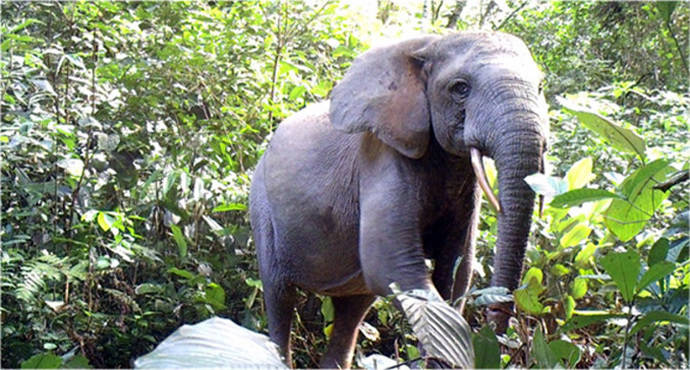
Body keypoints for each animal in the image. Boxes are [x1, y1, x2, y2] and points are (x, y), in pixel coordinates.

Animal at [247, 31, 544, 368]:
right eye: (460, 88)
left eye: (540, 88)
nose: (496, 318)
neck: (427, 44)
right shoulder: (381, 157)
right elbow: (391, 263)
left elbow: (456, 269)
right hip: (261, 205)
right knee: (279, 294)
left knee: (353, 308)